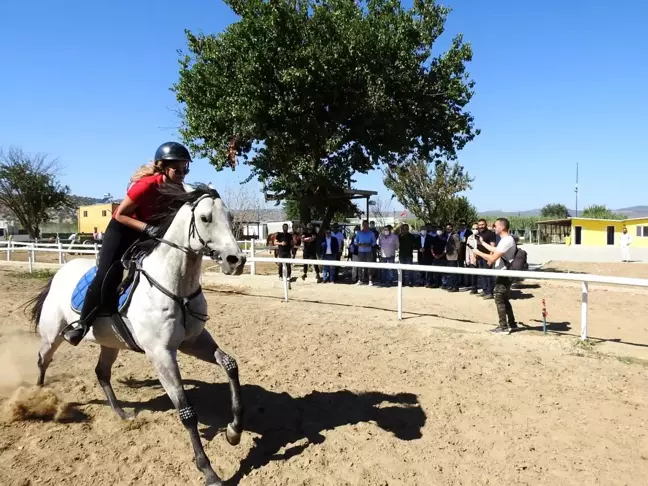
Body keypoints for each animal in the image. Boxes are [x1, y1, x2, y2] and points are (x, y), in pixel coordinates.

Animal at [27, 183, 246, 486]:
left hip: (110, 343)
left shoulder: (192, 342)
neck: (173, 284)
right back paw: (37, 399)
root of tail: (60, 272)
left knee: (101, 373)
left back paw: (121, 413)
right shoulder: (161, 354)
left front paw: (234, 432)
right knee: (42, 360)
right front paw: (208, 471)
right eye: (205, 218)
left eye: (231, 216)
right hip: (53, 335)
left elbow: (230, 365)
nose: (236, 261)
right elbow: (186, 411)